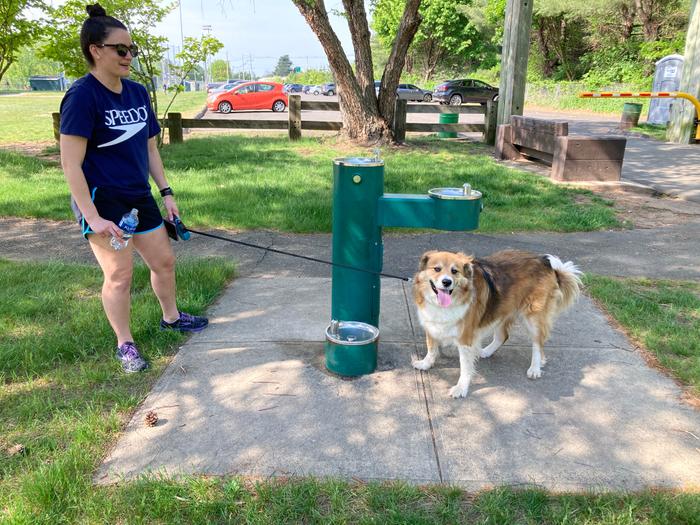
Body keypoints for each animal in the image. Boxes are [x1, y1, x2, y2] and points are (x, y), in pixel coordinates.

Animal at [412, 250, 584, 398]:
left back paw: (535, 367)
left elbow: (465, 367)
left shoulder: (465, 337)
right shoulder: (431, 326)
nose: (446, 282)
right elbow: (431, 348)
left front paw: (461, 388)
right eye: (437, 269)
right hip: (502, 311)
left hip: (533, 316)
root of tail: (546, 263)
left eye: (455, 271)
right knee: (503, 336)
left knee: (537, 342)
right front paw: (426, 364)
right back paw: (486, 352)